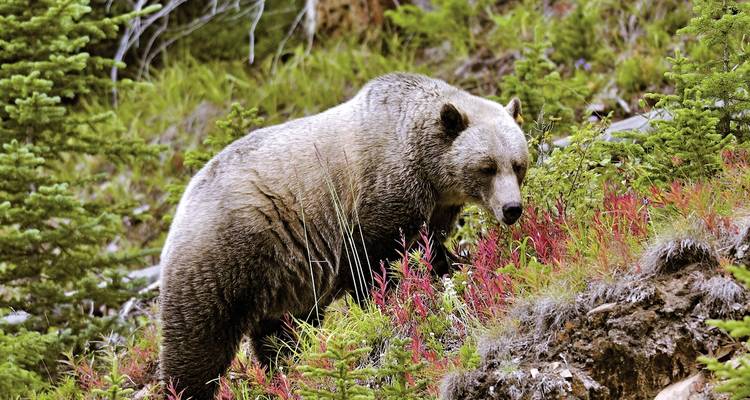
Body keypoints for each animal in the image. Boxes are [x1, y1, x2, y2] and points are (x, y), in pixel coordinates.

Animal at [159, 73, 529, 400]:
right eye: (487, 167)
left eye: (517, 164)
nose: (512, 208)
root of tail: (185, 200)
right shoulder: (376, 192)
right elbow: (372, 262)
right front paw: (387, 303)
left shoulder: (433, 204)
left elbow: (429, 248)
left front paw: (457, 264)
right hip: (228, 255)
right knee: (199, 342)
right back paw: (186, 388)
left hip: (284, 277)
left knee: (282, 333)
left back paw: (285, 371)